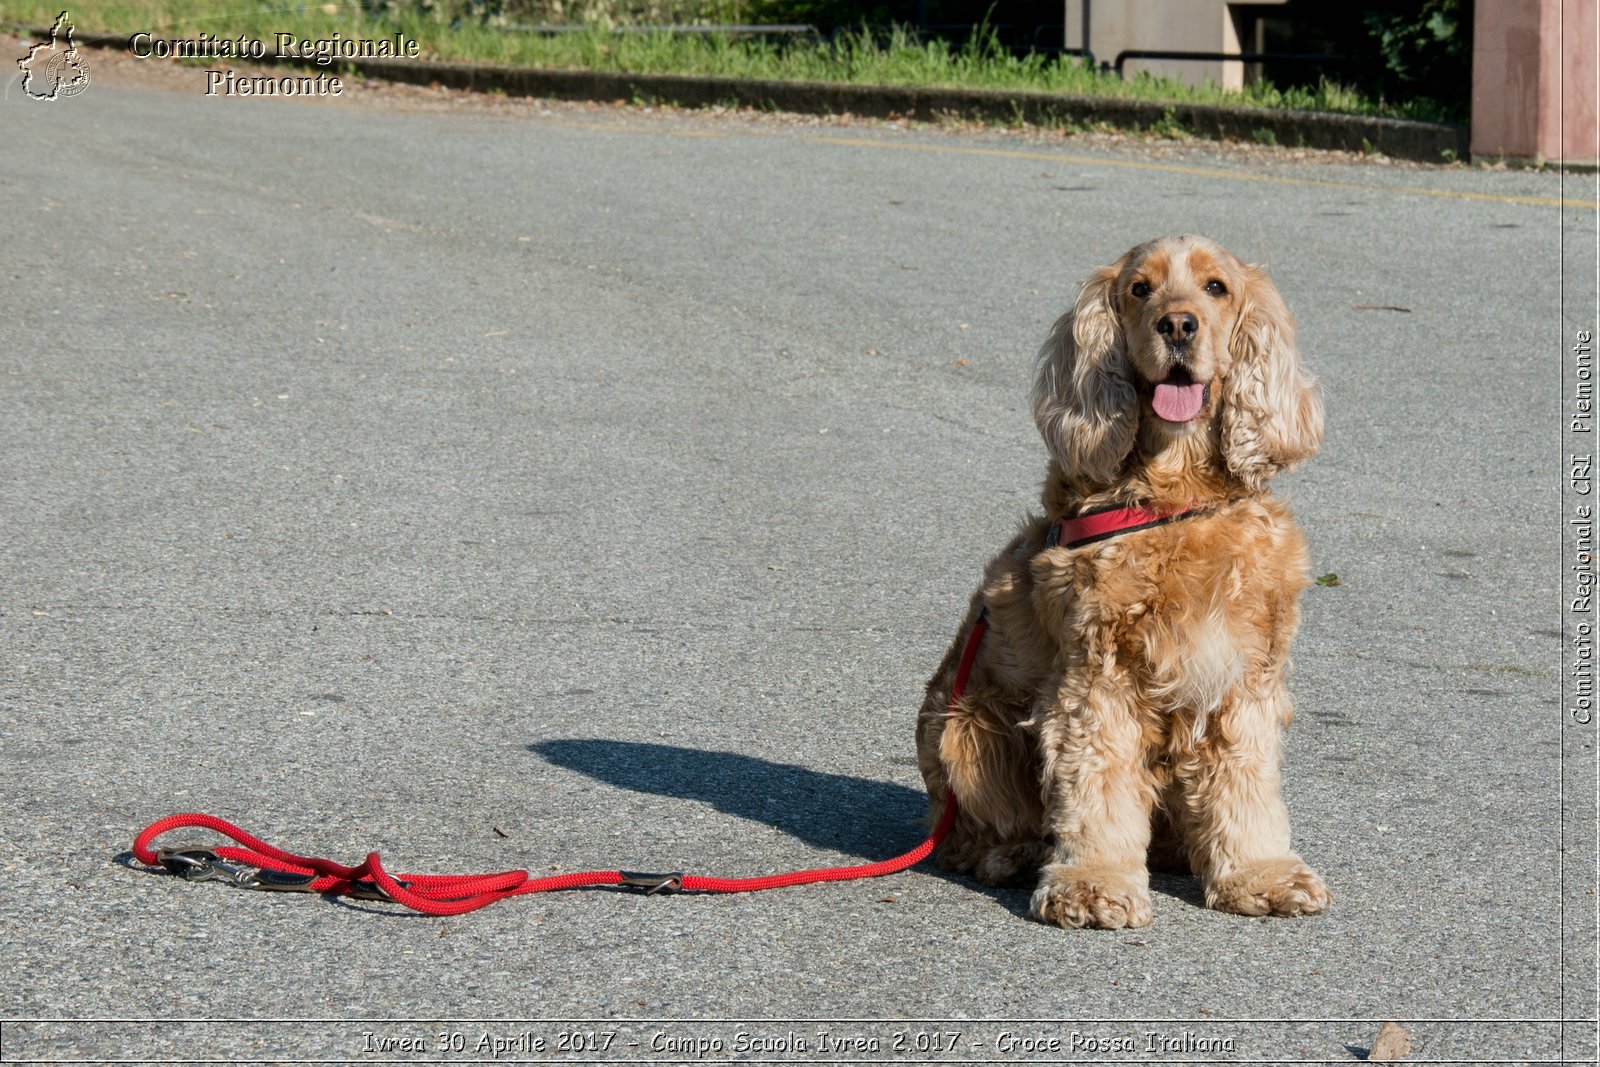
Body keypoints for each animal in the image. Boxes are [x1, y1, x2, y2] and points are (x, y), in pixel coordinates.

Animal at [921, 233, 1331, 927]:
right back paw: (1016, 855)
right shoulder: (1095, 677)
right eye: (1141, 289)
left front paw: (1261, 874)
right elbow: (1096, 783)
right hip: (963, 728)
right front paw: (1090, 884)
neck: (1177, 496)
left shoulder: (1245, 676)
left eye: (1216, 287)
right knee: (968, 836)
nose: (1178, 325)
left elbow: (1246, 784)